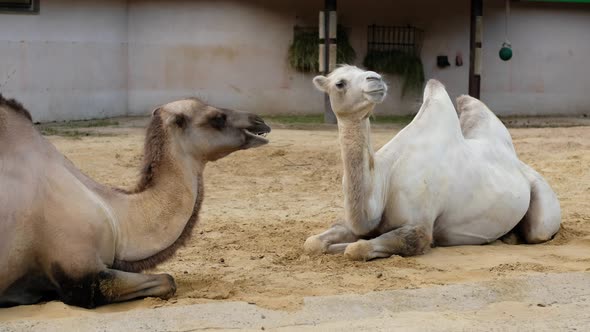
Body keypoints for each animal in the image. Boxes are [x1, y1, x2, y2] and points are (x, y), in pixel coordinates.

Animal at [308, 65, 560, 260]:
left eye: (363, 71)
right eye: (340, 83)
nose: (375, 78)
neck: (386, 178)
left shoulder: (420, 225)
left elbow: (357, 248)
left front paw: (346, 246)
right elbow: (312, 243)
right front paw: (330, 244)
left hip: (543, 208)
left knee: (539, 231)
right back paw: (508, 236)